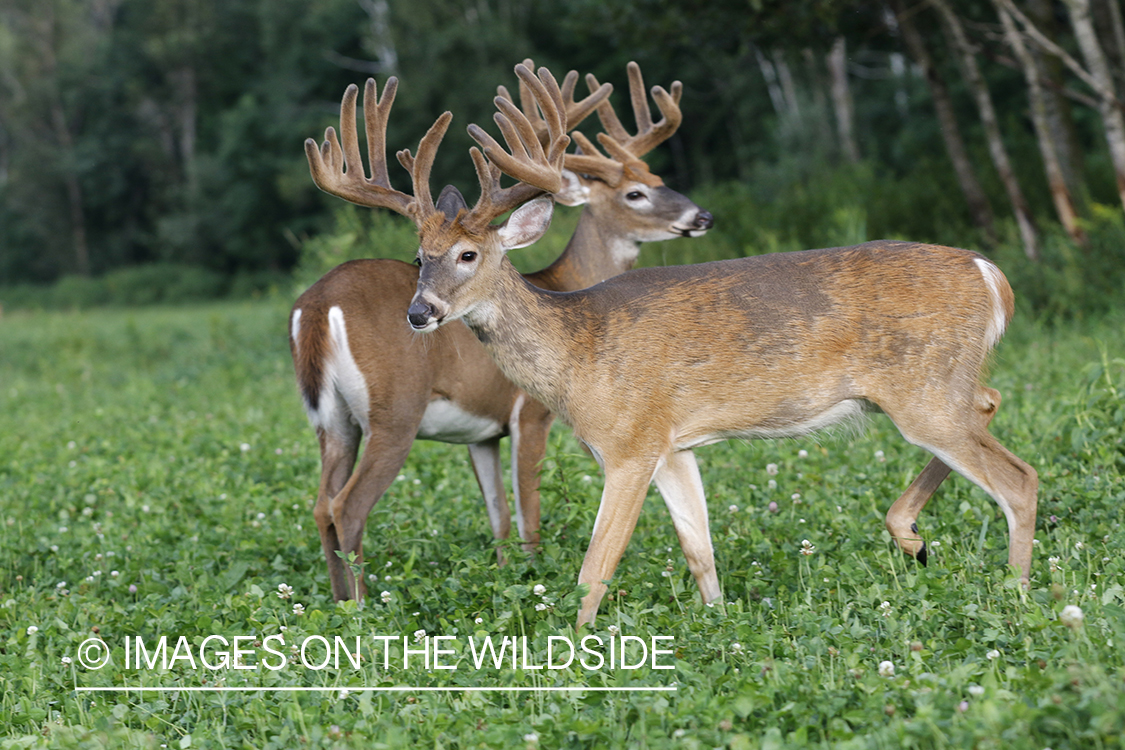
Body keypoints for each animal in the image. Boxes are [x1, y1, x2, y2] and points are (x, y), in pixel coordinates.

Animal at [290, 64, 711, 602]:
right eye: (634, 194)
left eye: (656, 178)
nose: (702, 217)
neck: (560, 287)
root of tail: (317, 306)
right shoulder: (529, 413)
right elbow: (529, 513)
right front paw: (534, 574)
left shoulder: (482, 433)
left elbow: (499, 517)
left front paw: (507, 573)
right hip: (395, 412)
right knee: (348, 506)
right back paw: (364, 607)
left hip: (332, 421)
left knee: (321, 505)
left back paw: (340, 602)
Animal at [402, 76, 1035, 629]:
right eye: (419, 256)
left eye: (467, 255)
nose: (419, 312)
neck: (576, 348)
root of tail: (991, 274)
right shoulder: (673, 446)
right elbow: (698, 549)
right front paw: (720, 624)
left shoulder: (629, 443)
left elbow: (597, 566)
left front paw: (574, 651)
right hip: (938, 385)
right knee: (989, 402)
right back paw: (912, 536)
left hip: (924, 388)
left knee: (1019, 478)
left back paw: (1016, 594)